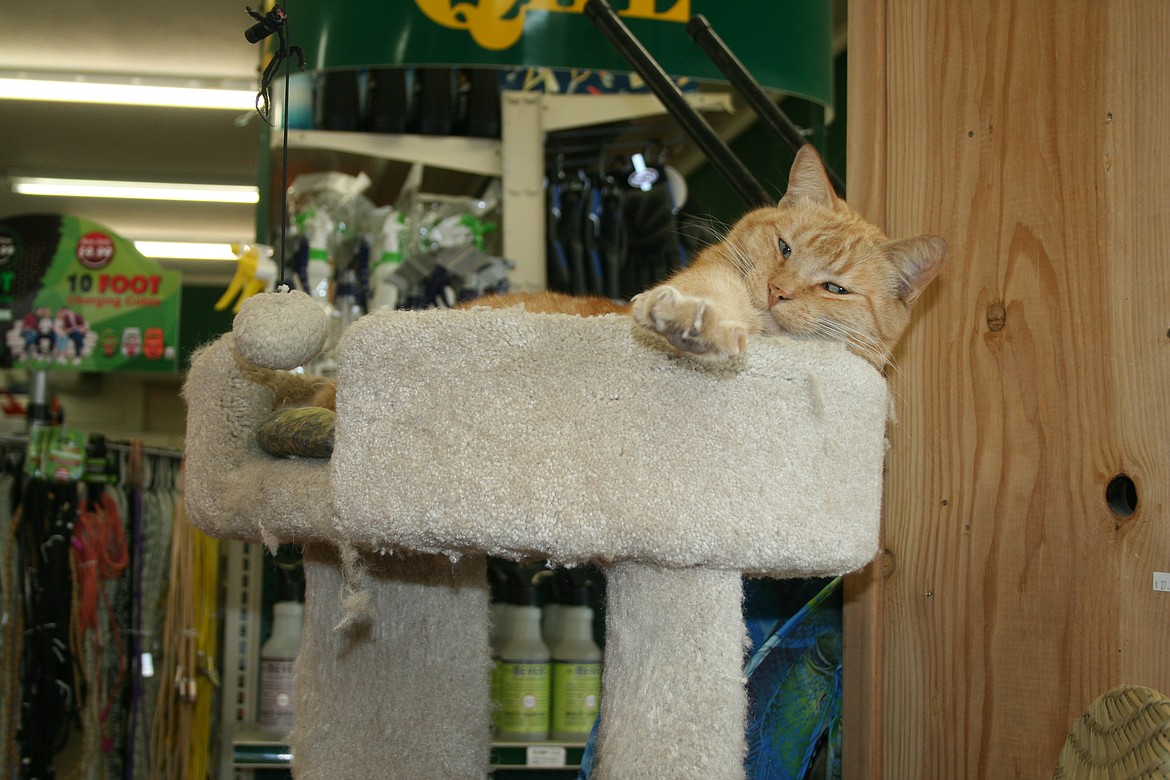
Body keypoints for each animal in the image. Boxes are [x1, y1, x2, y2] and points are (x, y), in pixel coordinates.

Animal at [301, 147, 940, 413]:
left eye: (834, 287)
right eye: (784, 247)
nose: (777, 292)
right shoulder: (716, 279)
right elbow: (712, 299)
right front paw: (694, 323)